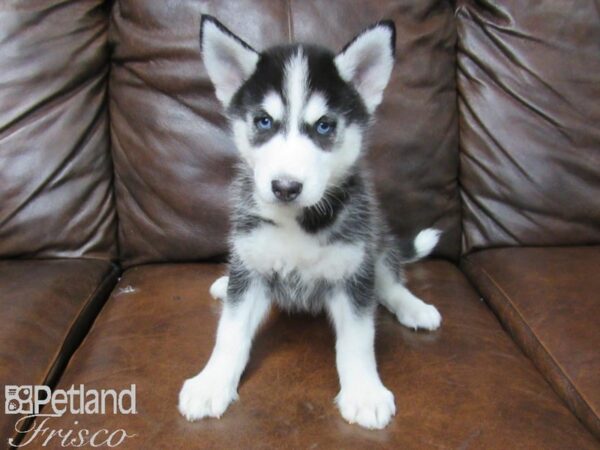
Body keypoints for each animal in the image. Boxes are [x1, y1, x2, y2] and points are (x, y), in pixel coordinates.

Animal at [178, 14, 440, 428]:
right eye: (263, 121)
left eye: (324, 126)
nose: (286, 187)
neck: (296, 222)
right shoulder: (251, 270)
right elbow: (230, 331)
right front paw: (212, 382)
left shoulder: (353, 274)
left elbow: (358, 340)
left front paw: (364, 391)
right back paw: (222, 283)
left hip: (376, 239)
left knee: (389, 280)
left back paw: (413, 306)